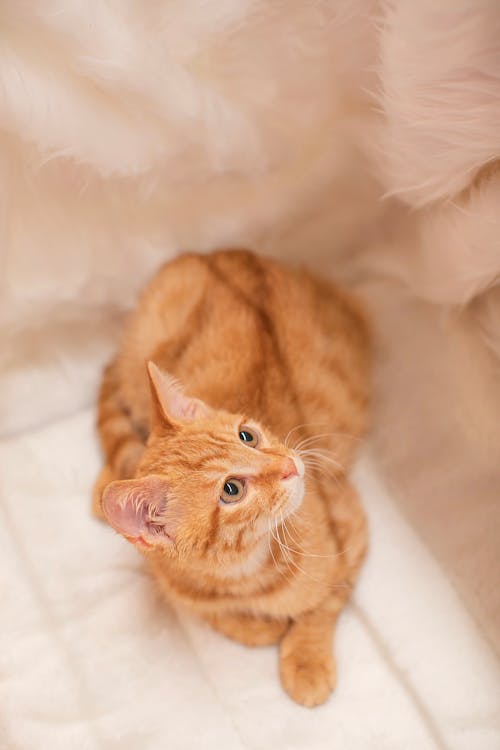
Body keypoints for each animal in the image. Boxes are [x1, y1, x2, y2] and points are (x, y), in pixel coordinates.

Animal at [93, 250, 372, 708]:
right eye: (231, 490)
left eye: (247, 435)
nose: (290, 465)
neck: (246, 574)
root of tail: (210, 255)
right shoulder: (175, 585)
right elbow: (211, 613)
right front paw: (258, 626)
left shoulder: (349, 519)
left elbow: (325, 599)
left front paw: (307, 659)